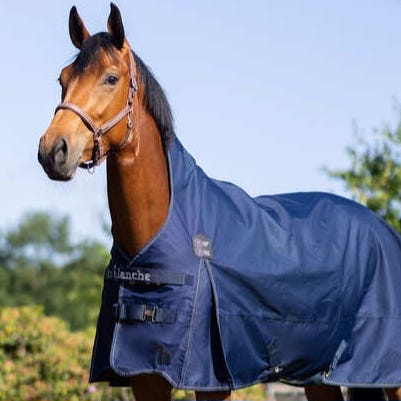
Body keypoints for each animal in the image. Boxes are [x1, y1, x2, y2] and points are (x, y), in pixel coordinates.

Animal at [38, 4, 401, 401]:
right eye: (62, 79)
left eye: (111, 78)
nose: (53, 150)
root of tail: (385, 231)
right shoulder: (144, 379)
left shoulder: (210, 383)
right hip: (319, 377)